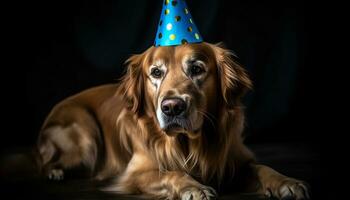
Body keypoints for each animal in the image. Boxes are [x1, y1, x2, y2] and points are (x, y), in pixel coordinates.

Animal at [36, 41, 308, 198]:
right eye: (156, 72)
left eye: (197, 69)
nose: (172, 107)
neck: (190, 144)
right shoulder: (135, 173)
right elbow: (171, 173)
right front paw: (194, 187)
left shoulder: (235, 160)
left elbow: (263, 168)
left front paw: (287, 182)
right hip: (86, 137)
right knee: (46, 162)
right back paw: (55, 172)